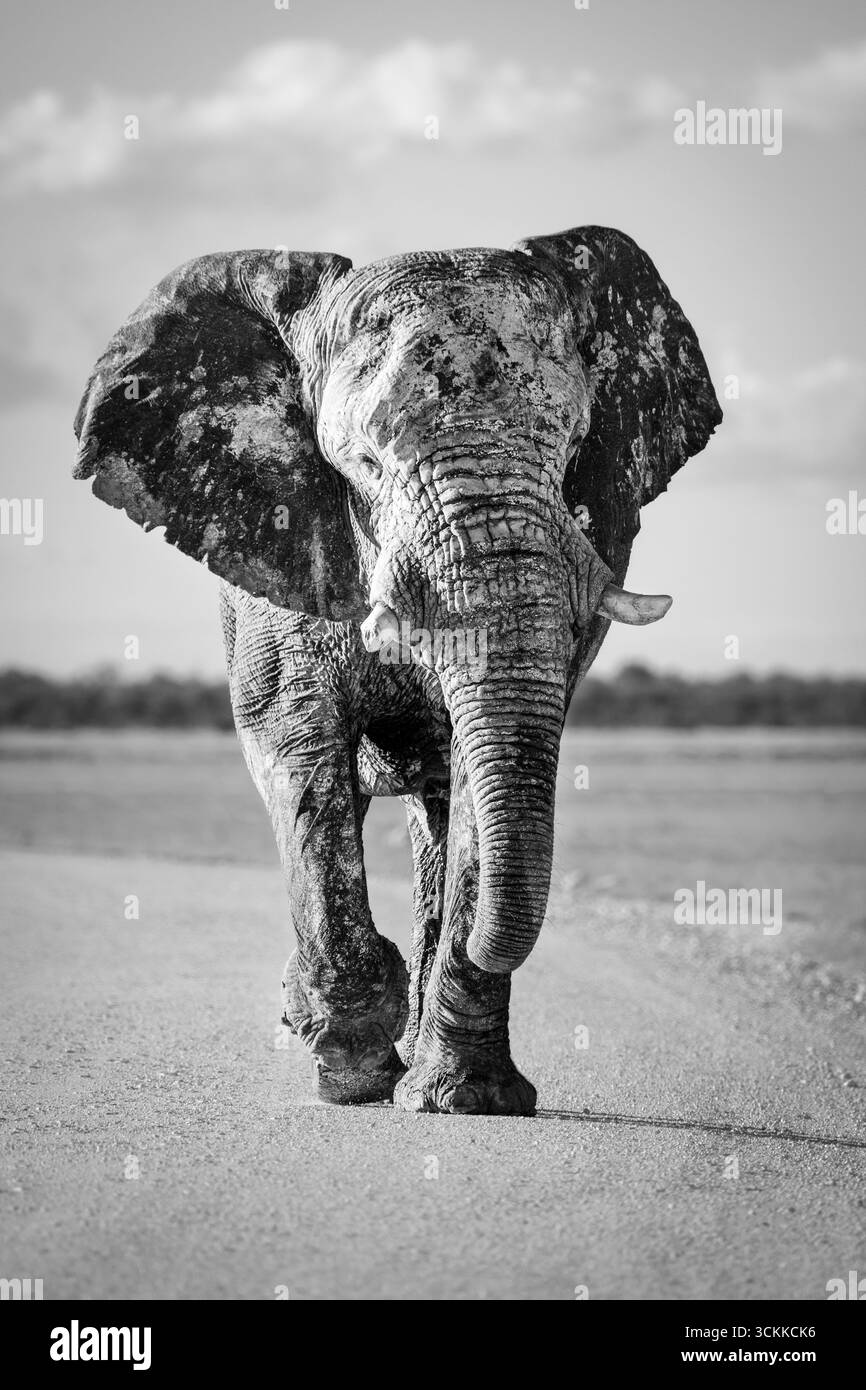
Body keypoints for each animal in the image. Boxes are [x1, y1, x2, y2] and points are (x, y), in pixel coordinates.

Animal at [73, 225, 722, 1115]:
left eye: (569, 449)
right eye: (367, 464)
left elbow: (480, 780)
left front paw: (464, 1099)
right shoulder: (289, 548)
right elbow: (298, 751)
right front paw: (348, 1071)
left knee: (438, 805)